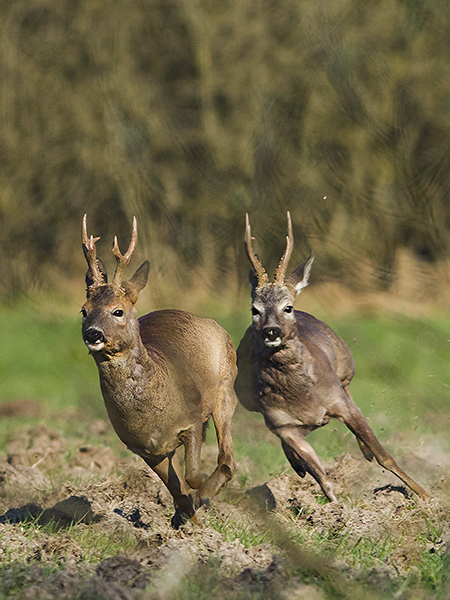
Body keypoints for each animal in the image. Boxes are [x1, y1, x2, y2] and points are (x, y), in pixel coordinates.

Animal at [80, 216, 237, 524]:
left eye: (117, 311)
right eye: (84, 310)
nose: (93, 334)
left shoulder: (190, 420)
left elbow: (192, 478)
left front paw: (200, 507)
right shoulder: (144, 449)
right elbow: (177, 490)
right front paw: (188, 523)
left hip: (226, 385)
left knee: (228, 459)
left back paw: (206, 497)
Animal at [236, 211, 428, 502]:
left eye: (287, 307)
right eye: (254, 309)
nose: (271, 330)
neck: (302, 397)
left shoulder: (340, 404)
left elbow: (385, 456)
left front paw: (425, 496)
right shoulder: (282, 425)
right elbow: (322, 478)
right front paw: (334, 508)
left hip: (346, 368)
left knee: (350, 394)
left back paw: (364, 452)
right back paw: (299, 466)